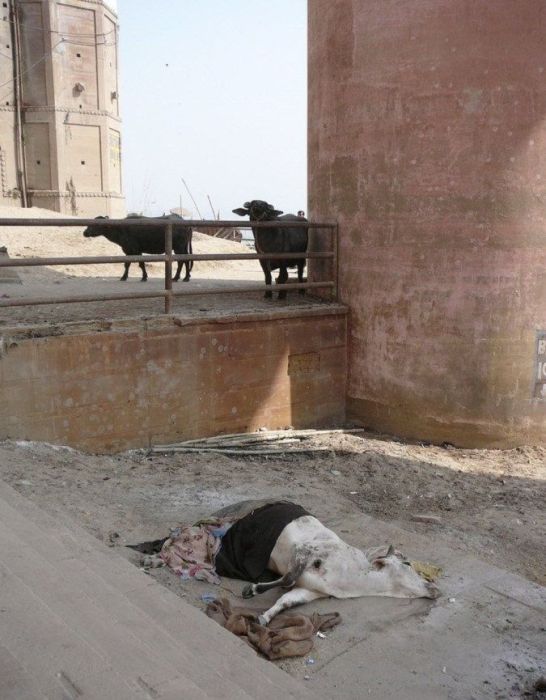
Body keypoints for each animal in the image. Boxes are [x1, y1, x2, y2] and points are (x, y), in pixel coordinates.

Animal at [127, 500, 438, 628]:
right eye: (407, 563)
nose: (435, 589)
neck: (353, 575)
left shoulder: (313, 591)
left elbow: (288, 599)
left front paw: (264, 618)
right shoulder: (306, 551)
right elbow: (287, 577)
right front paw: (252, 590)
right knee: (178, 537)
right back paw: (153, 556)